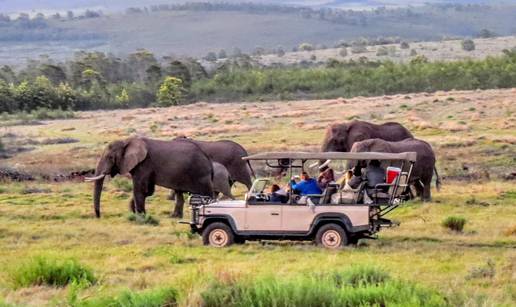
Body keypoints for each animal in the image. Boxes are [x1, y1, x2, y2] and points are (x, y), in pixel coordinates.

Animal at [85, 137, 214, 219]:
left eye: (110, 157)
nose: (99, 216)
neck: (127, 140)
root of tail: (208, 160)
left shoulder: (144, 164)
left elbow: (140, 189)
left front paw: (140, 217)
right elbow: (148, 191)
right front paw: (135, 211)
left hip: (200, 175)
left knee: (207, 195)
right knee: (179, 194)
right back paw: (174, 217)